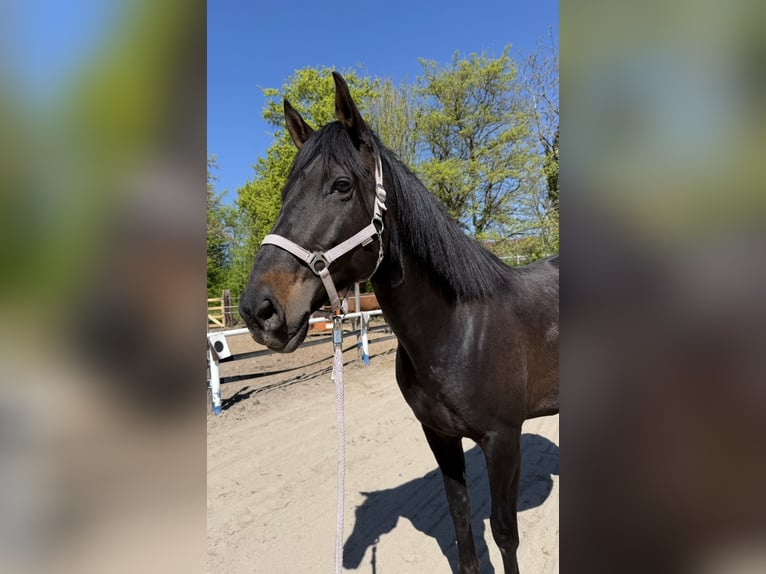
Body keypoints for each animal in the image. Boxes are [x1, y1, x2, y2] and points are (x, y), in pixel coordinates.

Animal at [239, 71, 559, 574]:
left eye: (341, 185)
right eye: (286, 193)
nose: (259, 310)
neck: (458, 330)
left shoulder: (504, 440)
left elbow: (505, 534)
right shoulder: (440, 437)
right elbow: (462, 524)